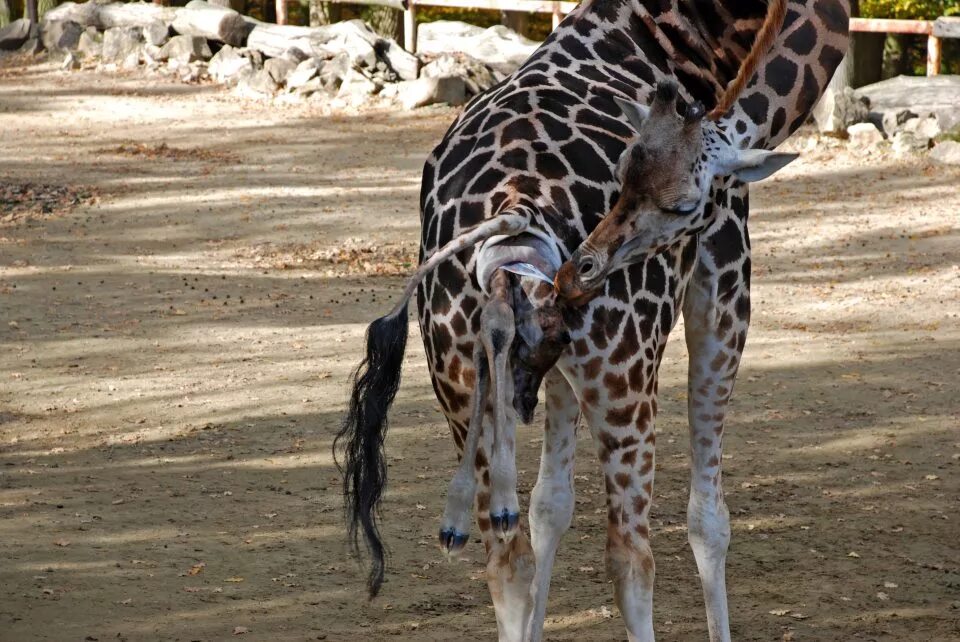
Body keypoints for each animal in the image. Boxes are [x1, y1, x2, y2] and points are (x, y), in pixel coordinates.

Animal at [336, 2, 848, 636]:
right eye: (623, 176)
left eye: (674, 199)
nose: (582, 269)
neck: (704, 36)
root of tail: (514, 216)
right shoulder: (725, 280)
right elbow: (709, 520)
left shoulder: (553, 361)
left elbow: (548, 506)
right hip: (624, 377)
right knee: (632, 555)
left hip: (458, 375)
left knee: (506, 552)